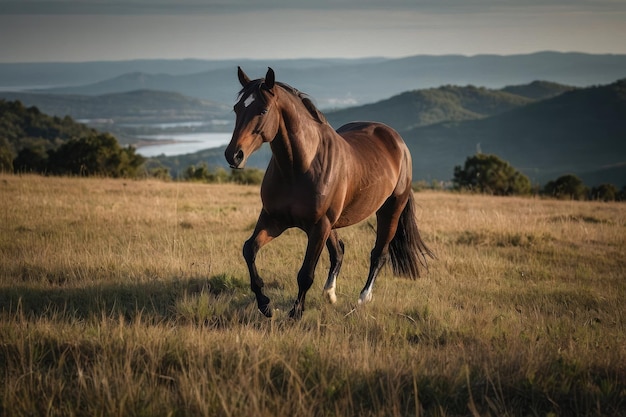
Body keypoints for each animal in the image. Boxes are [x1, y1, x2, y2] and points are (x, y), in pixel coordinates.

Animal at [225, 66, 434, 316]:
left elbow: (305, 274)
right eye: (237, 108)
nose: (233, 155)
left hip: (389, 210)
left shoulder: (318, 226)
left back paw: (363, 298)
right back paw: (330, 294)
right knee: (339, 251)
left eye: (263, 109)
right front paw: (265, 304)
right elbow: (249, 249)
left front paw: (295, 313)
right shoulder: (273, 219)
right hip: (334, 223)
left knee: (378, 254)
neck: (300, 166)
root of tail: (396, 140)